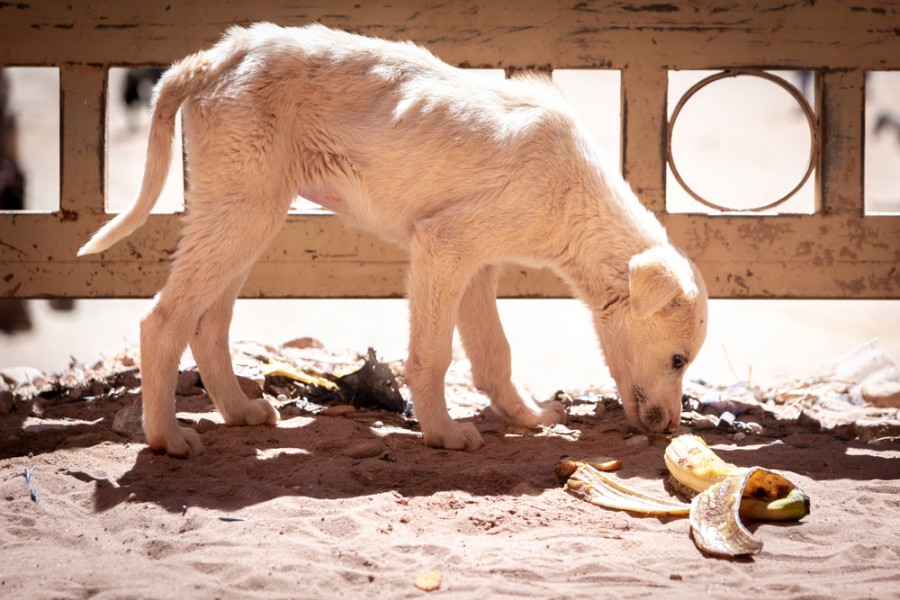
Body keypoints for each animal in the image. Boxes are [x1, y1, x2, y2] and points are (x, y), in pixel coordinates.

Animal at [81, 21, 708, 458]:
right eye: (678, 360)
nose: (671, 431)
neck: (573, 195)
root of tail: (217, 57)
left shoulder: (477, 267)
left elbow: (494, 354)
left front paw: (525, 417)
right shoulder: (442, 247)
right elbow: (433, 354)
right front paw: (444, 434)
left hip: (244, 215)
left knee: (208, 325)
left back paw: (239, 412)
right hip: (243, 214)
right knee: (163, 320)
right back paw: (166, 439)